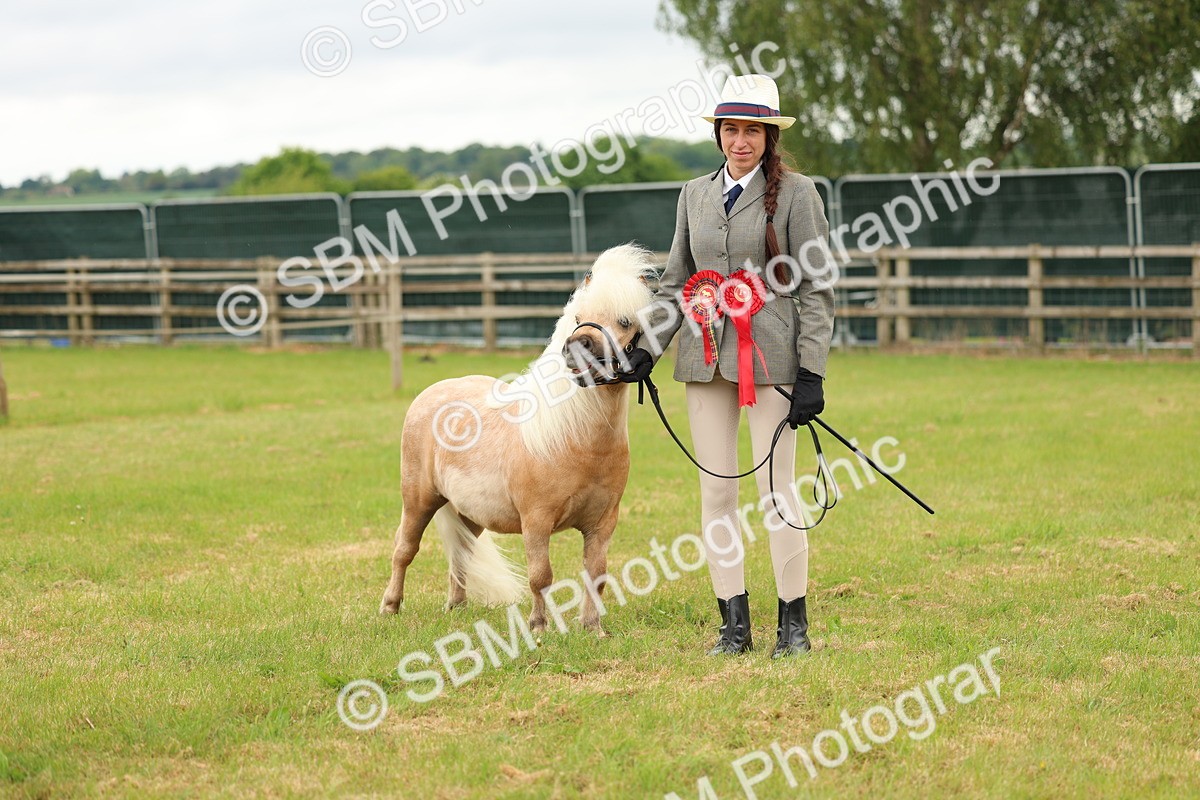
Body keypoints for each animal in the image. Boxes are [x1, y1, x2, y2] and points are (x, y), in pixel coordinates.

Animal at [379, 244, 657, 635]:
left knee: (461, 552)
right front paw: (538, 627)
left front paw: (593, 628)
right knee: (403, 550)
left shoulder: (603, 524)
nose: (578, 346)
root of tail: (432, 393)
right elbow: (541, 576)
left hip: (469, 514)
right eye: (578, 317)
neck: (576, 440)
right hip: (418, 500)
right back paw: (390, 607)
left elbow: (596, 574)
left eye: (625, 322)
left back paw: (456, 606)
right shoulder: (536, 522)